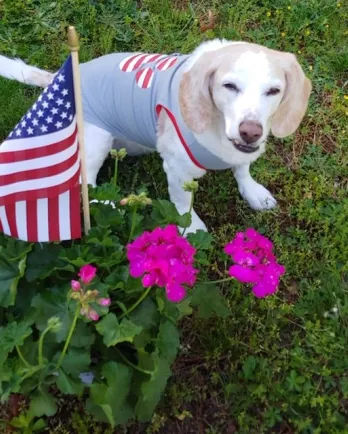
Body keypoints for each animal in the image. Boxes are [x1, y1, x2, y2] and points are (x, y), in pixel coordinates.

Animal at [0, 39, 312, 232]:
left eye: (273, 91)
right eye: (229, 86)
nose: (251, 132)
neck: (217, 127)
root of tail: (59, 78)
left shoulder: (242, 153)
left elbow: (243, 169)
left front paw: (253, 192)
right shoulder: (178, 170)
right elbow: (183, 204)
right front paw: (191, 228)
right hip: (97, 135)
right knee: (85, 183)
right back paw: (111, 206)